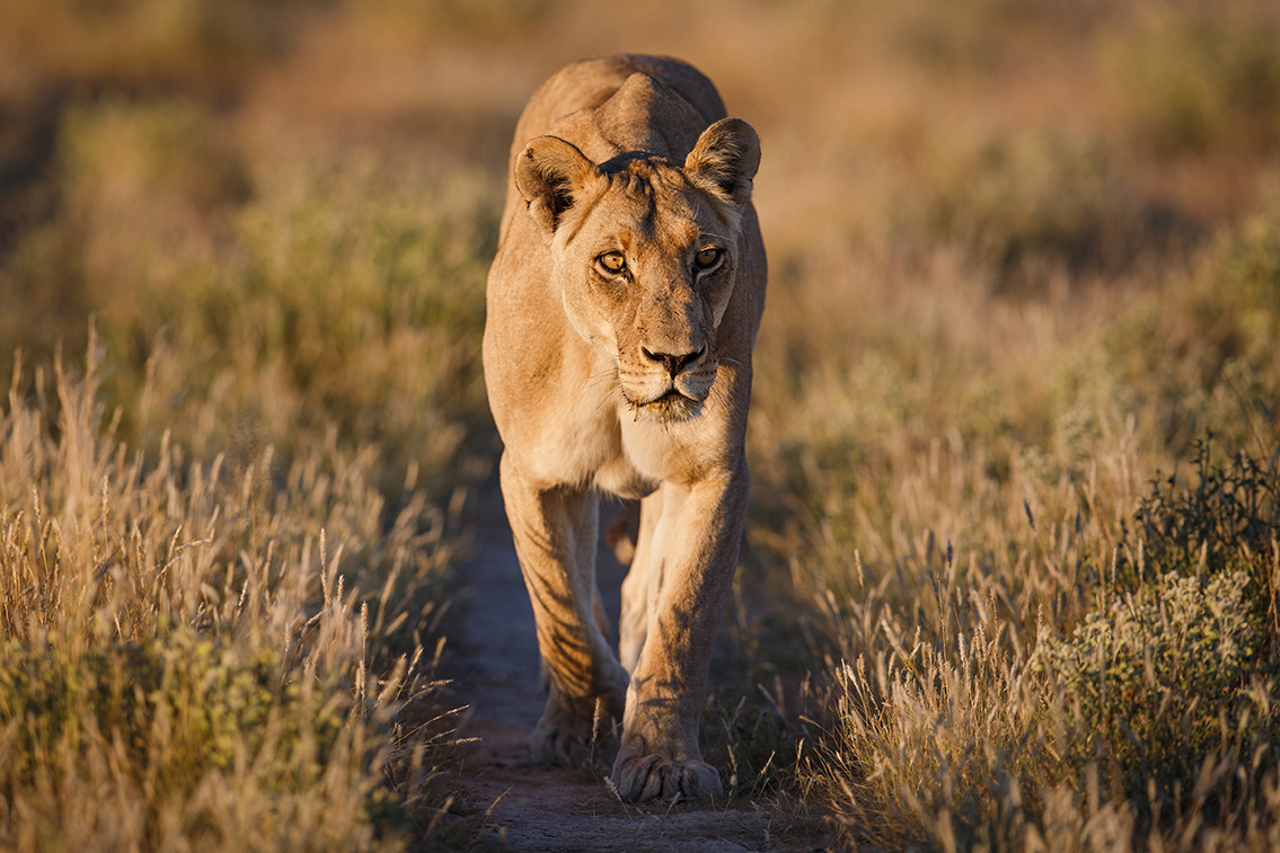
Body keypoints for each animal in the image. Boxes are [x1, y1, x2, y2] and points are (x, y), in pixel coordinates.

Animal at [482, 54, 765, 803]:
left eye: (707, 257)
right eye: (614, 263)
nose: (677, 359)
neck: (612, 379)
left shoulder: (713, 473)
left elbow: (682, 617)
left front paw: (661, 758)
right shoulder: (532, 473)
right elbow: (565, 617)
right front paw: (601, 704)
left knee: (641, 592)